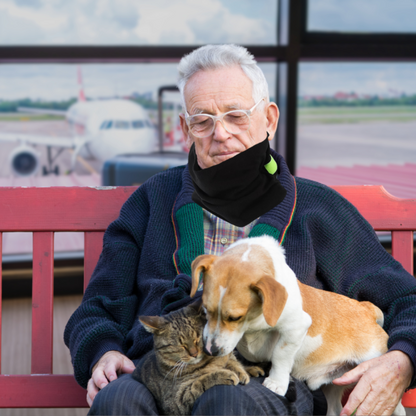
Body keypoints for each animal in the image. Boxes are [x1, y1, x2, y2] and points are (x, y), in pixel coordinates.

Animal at [190, 236, 404, 416]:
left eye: (235, 317)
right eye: (205, 310)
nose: (210, 351)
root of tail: (365, 308)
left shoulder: (295, 328)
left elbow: (280, 355)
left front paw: (276, 383)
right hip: (332, 388)